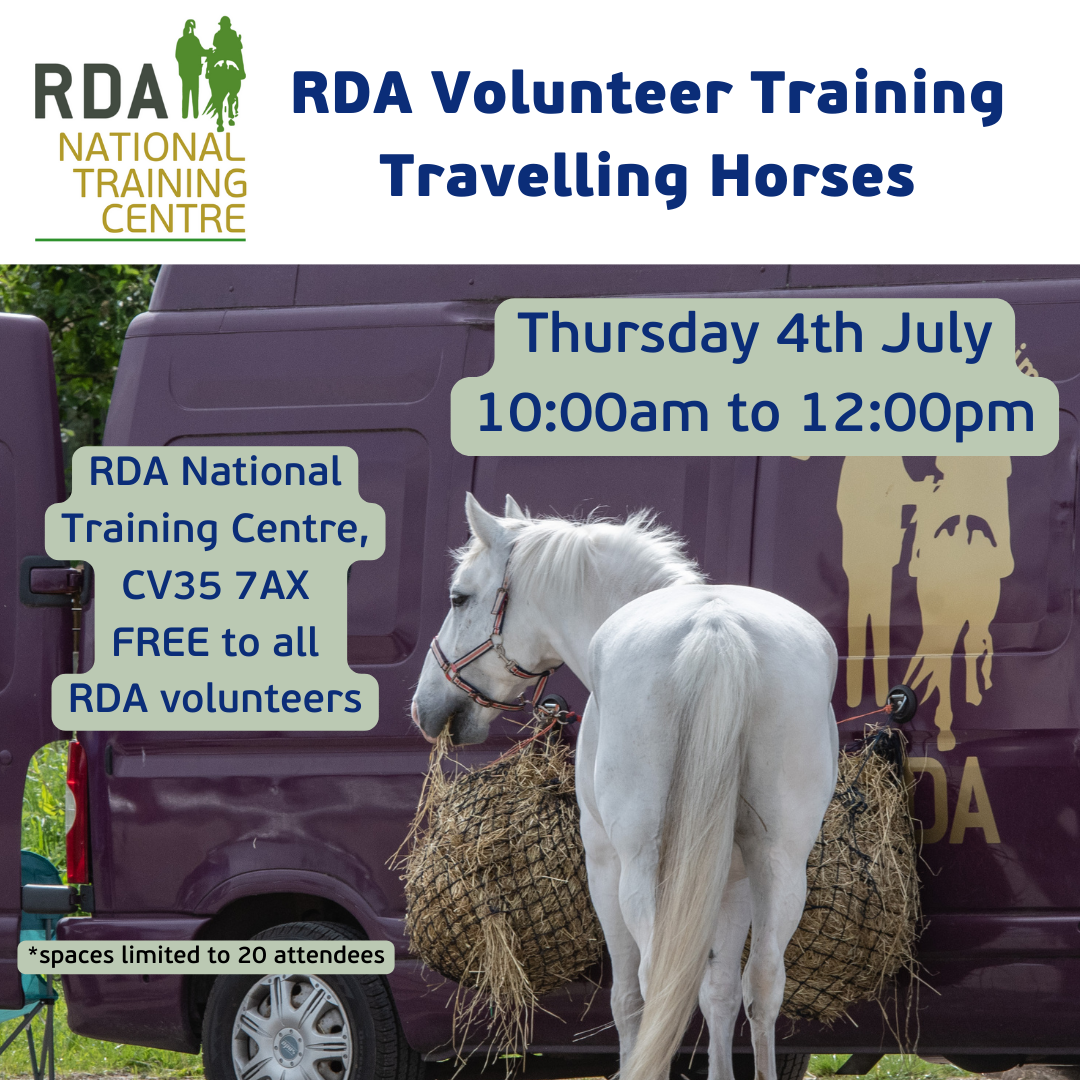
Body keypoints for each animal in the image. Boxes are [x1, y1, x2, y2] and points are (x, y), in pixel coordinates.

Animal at [411, 494, 839, 1080]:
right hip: (780, 863)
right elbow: (721, 992)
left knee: (656, 980)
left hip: (640, 867)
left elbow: (629, 1000)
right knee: (764, 982)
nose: (424, 706)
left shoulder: (604, 862)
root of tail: (718, 627)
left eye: (459, 597)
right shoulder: (730, 877)